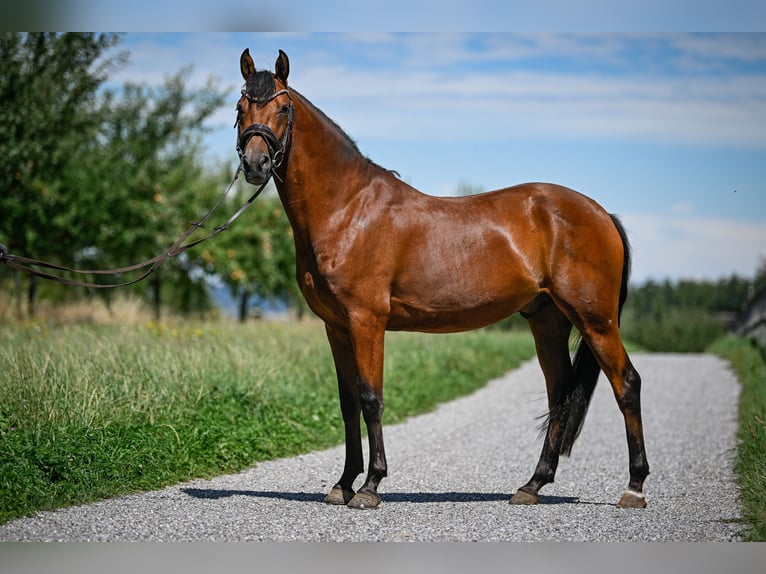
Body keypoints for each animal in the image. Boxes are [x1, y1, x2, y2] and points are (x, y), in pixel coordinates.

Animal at [234, 47, 648, 510]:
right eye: (240, 108)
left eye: (283, 109)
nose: (255, 164)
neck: (348, 209)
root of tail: (601, 213)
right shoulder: (336, 327)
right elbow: (347, 403)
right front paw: (343, 484)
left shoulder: (366, 321)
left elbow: (371, 399)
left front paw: (370, 486)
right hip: (548, 319)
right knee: (559, 394)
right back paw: (533, 484)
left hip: (595, 319)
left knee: (627, 384)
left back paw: (634, 486)